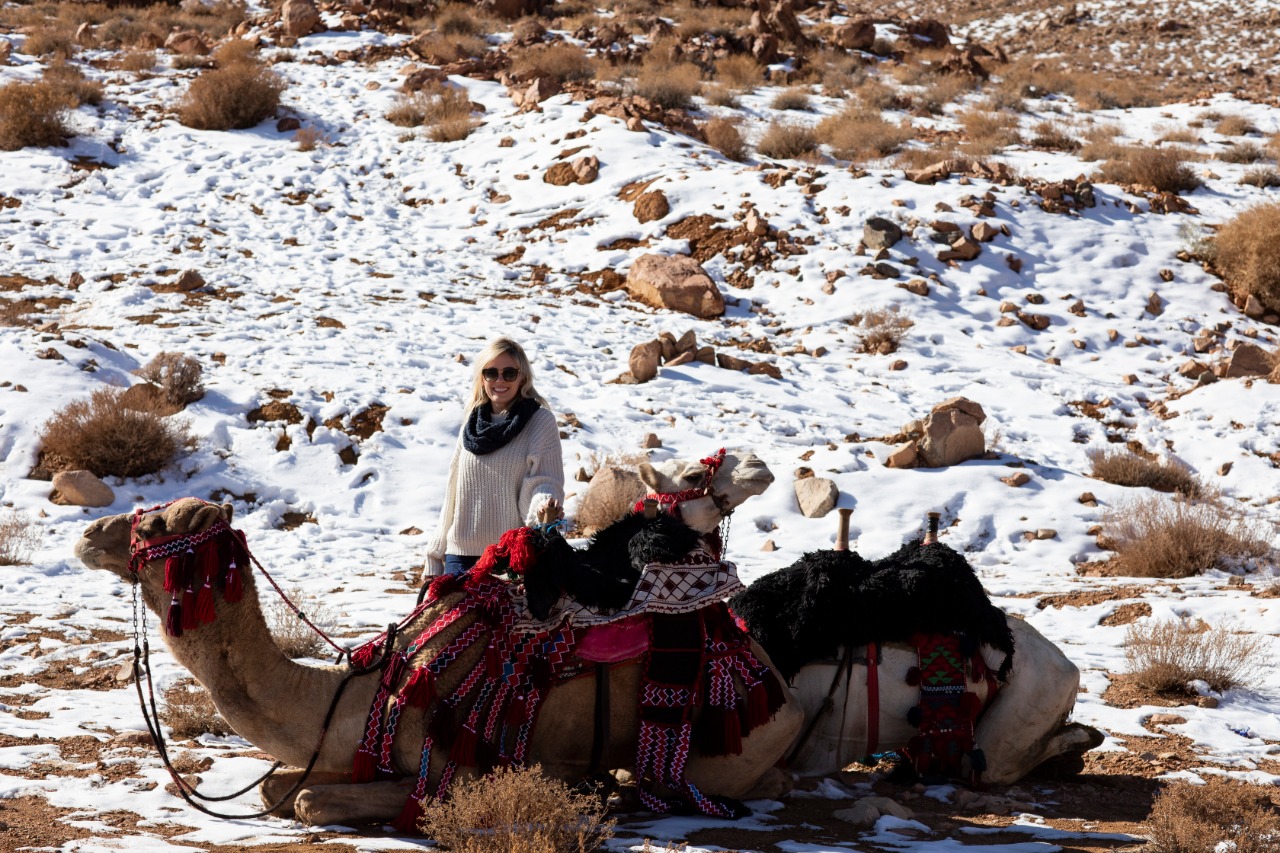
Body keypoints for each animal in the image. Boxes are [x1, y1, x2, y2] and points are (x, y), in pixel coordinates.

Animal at [72, 448, 798, 824]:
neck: (358, 694)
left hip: (729, 747)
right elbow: (278, 788)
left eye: (153, 524)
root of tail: (777, 681)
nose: (86, 535)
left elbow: (305, 799)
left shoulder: (455, 767)